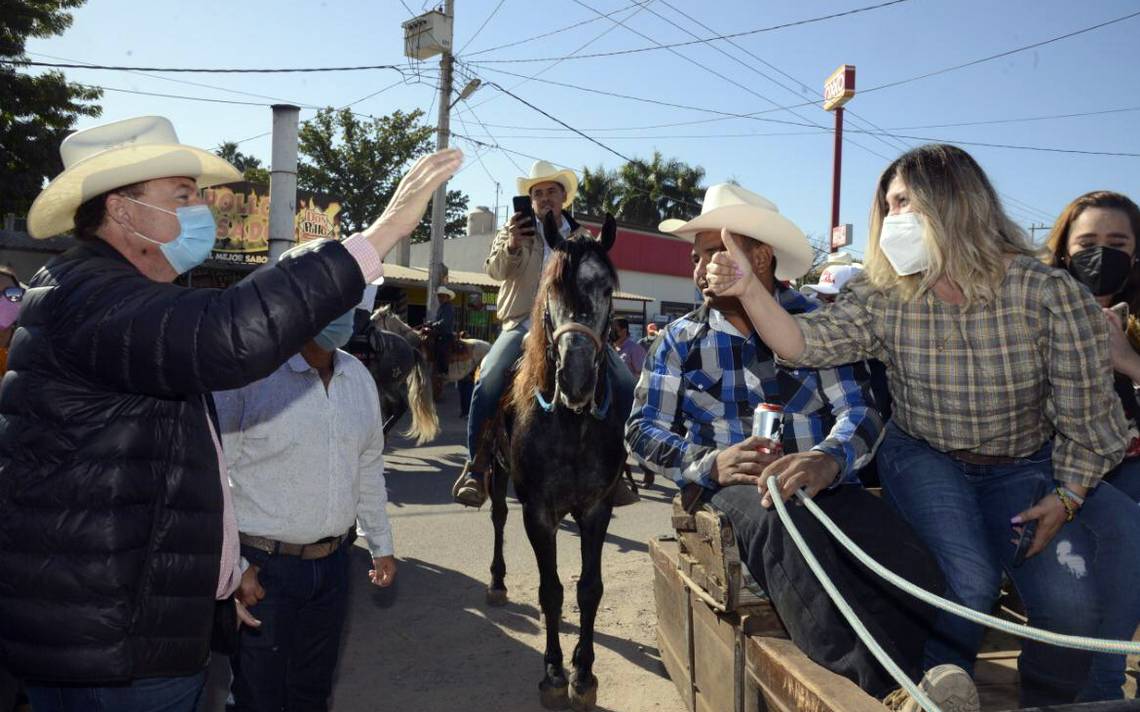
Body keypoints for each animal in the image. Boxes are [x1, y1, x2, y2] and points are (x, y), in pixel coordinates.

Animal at [476, 210, 629, 710]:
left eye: (607, 290)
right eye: (553, 289)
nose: (576, 379)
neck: (571, 422)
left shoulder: (596, 509)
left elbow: (588, 589)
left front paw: (583, 671)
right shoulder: (538, 511)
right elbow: (551, 590)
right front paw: (553, 673)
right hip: (498, 474)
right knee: (499, 518)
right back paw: (498, 582)